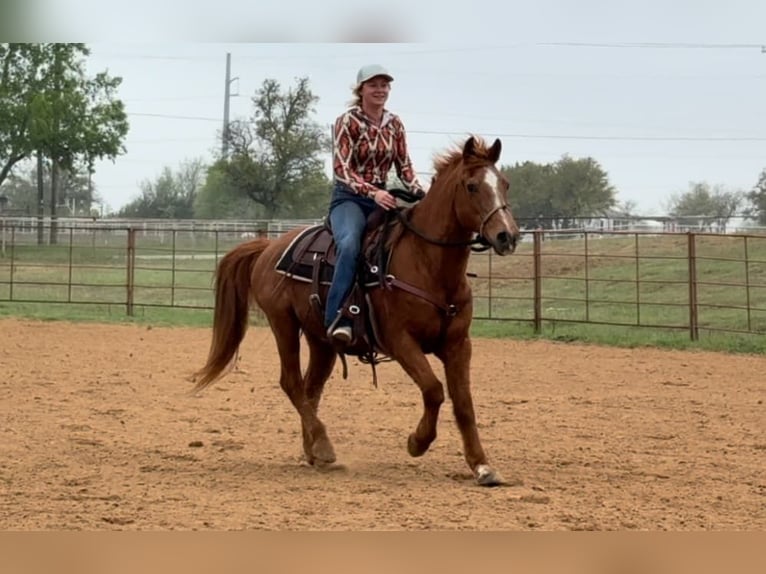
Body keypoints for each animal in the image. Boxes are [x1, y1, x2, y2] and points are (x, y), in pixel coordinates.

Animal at [192, 135, 521, 486]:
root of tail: (269, 248)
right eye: (472, 186)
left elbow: (464, 404)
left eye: (505, 183)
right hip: (283, 324)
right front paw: (417, 443)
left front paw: (482, 466)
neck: (427, 264)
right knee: (291, 383)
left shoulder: (459, 344)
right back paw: (324, 447)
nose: (507, 235)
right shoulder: (400, 341)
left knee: (310, 388)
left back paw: (314, 450)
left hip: (320, 340)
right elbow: (433, 390)